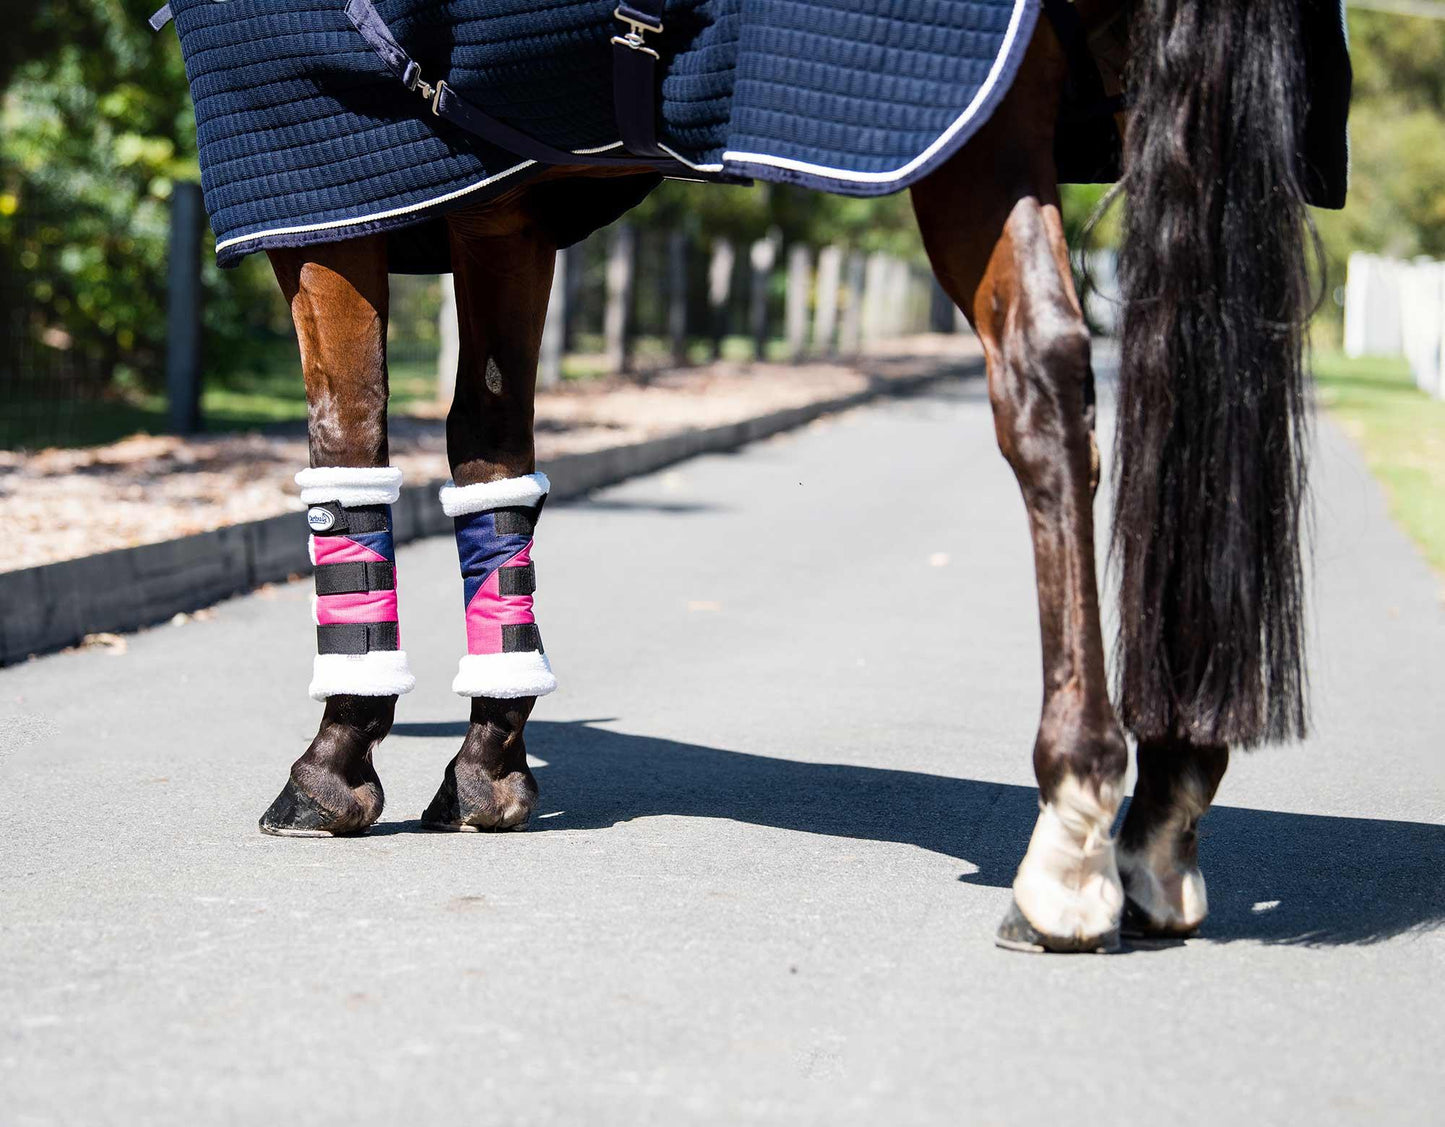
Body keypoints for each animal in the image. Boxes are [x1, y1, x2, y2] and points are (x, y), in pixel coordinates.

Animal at [161, 0, 1352, 953]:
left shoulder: (318, 174)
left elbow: (345, 439)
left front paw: (334, 762)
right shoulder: (500, 206)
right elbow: (492, 456)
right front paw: (488, 763)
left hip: (975, 134)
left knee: (1046, 393)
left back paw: (1069, 842)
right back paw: (1161, 821)